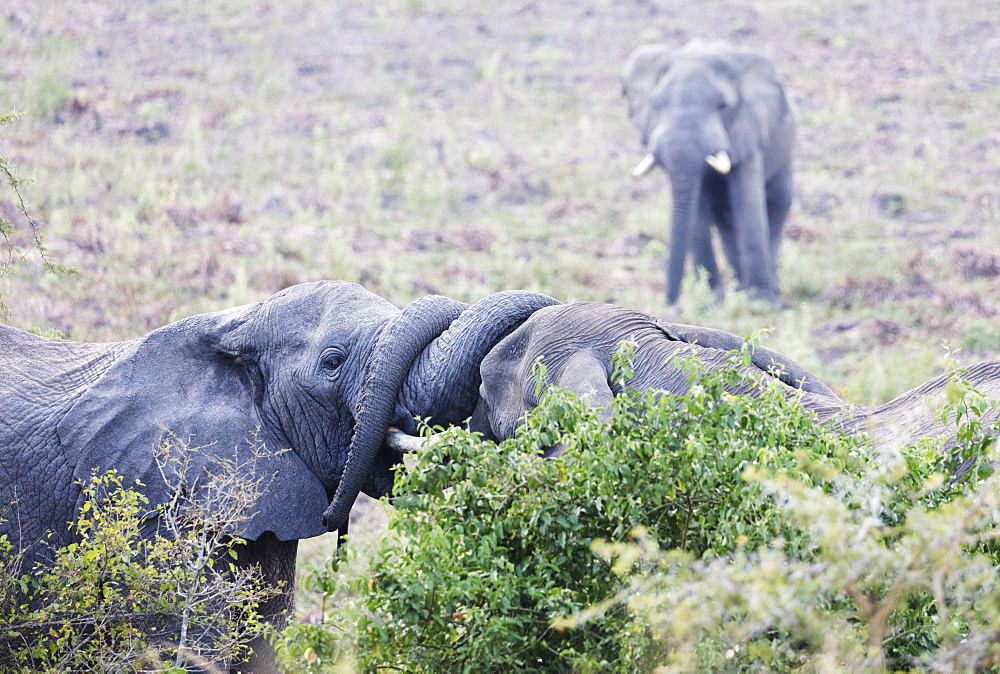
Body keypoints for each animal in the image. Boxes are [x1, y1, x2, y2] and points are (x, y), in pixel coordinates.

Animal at [624, 39, 796, 304]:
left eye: (722, 106)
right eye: (658, 104)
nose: (671, 303)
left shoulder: (746, 127)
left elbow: (747, 202)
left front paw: (761, 304)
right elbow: (697, 208)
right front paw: (711, 301)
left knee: (777, 206)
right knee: (725, 220)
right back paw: (737, 286)